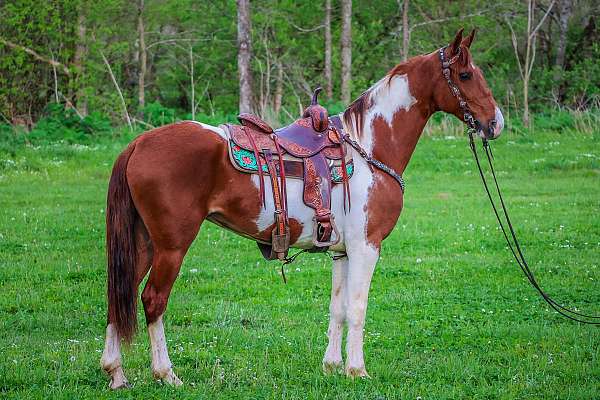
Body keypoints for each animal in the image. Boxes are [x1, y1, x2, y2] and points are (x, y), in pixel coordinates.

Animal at [102, 28, 502, 388]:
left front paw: (332, 366)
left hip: (143, 243)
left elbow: (338, 308)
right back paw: (166, 374)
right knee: (152, 300)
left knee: (119, 295)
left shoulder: (342, 251)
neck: (370, 146)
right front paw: (357, 370)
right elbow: (358, 308)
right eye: (465, 75)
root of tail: (137, 143)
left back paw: (116, 373)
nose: (495, 122)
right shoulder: (366, 247)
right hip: (171, 246)